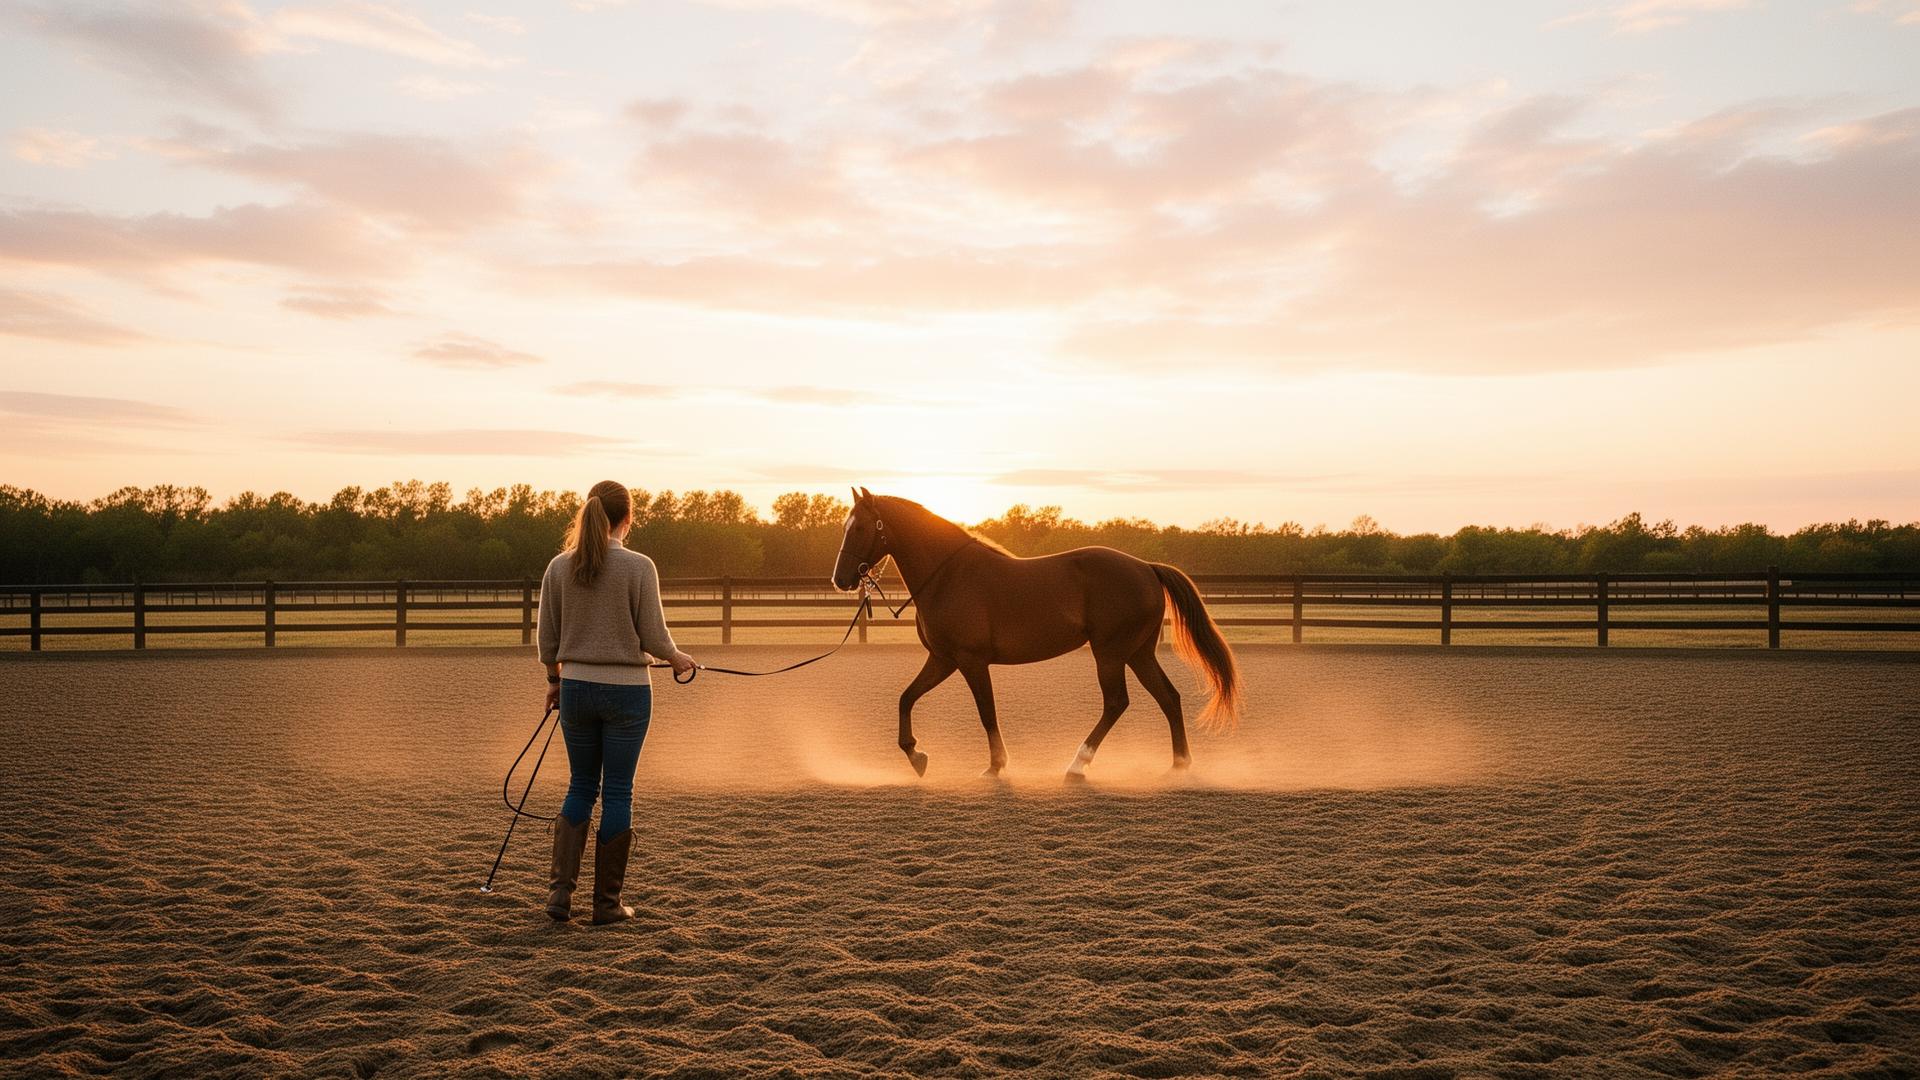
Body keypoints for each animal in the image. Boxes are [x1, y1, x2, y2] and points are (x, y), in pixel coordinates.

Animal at [830, 488, 1242, 779]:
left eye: (861, 528)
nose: (841, 579)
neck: (948, 576)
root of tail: (1146, 568)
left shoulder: (971, 661)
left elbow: (986, 711)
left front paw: (995, 765)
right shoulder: (943, 659)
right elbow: (906, 698)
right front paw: (916, 754)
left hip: (1110, 654)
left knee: (1116, 703)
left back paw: (1078, 764)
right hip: (1138, 654)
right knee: (1168, 697)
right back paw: (1179, 764)